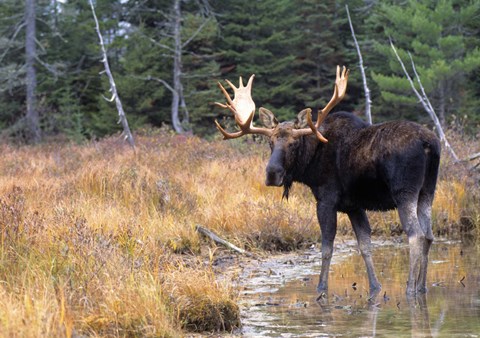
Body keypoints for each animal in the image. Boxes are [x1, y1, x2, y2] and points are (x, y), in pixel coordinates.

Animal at [216, 66, 440, 296]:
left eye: (294, 143)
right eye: (270, 142)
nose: (272, 173)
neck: (310, 165)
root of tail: (429, 143)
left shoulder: (326, 200)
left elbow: (326, 248)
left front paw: (321, 287)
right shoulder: (354, 206)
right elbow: (365, 245)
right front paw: (375, 287)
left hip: (404, 192)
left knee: (416, 235)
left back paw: (410, 288)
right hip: (427, 191)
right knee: (429, 235)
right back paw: (421, 286)